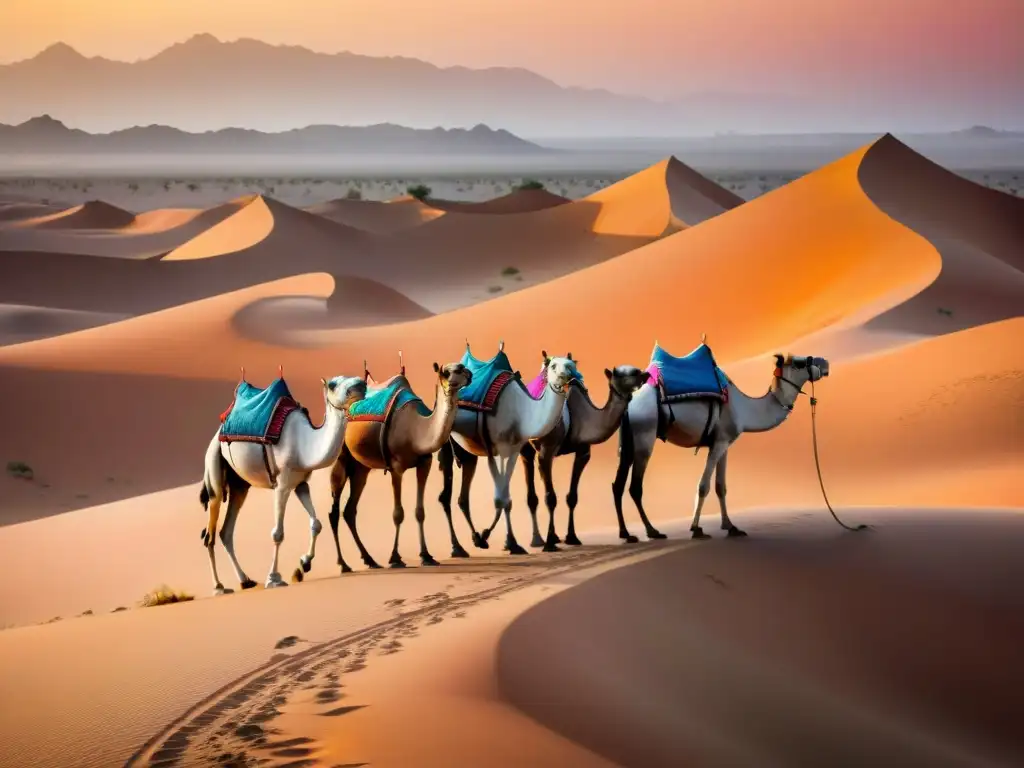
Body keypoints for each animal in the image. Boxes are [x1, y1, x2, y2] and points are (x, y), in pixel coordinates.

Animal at [197, 376, 366, 598]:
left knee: (226, 531)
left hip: (240, 486)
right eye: (333, 384)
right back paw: (219, 587)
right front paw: (274, 579)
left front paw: (303, 565)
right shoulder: (282, 484)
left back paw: (246, 581)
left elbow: (316, 524)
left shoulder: (301, 483)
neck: (305, 445)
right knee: (209, 533)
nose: (360, 385)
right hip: (214, 464)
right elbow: (278, 533)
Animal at [325, 356, 473, 573]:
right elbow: (398, 513)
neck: (417, 430)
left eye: (462, 368)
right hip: (341, 458)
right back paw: (344, 564)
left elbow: (419, 511)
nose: (468, 373)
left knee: (349, 510)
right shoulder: (396, 468)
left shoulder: (425, 463)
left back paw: (370, 560)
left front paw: (426, 556)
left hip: (361, 468)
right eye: (447, 372)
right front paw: (395, 558)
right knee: (334, 512)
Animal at [436, 346, 581, 557]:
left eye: (572, 364)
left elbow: (506, 498)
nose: (570, 376)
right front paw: (502, 540)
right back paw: (457, 548)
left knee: (463, 498)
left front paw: (500, 541)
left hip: (468, 453)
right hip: (446, 444)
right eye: (553, 365)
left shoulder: (513, 451)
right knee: (445, 497)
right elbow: (500, 499)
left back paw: (473, 539)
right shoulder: (497, 451)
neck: (522, 411)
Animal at [520, 358, 647, 548]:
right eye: (623, 374)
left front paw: (571, 537)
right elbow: (550, 497)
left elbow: (572, 497)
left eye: (636, 370)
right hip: (527, 444)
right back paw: (537, 540)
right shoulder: (547, 451)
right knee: (531, 484)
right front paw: (550, 543)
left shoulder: (583, 452)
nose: (645, 374)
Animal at [610, 342, 827, 540]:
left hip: (628, 440)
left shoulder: (724, 443)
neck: (744, 408)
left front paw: (731, 527)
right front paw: (696, 529)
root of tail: (631, 401)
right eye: (799, 363)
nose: (824, 363)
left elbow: (720, 486)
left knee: (617, 484)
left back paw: (626, 534)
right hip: (644, 434)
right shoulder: (719, 442)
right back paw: (652, 531)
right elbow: (703, 486)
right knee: (635, 487)